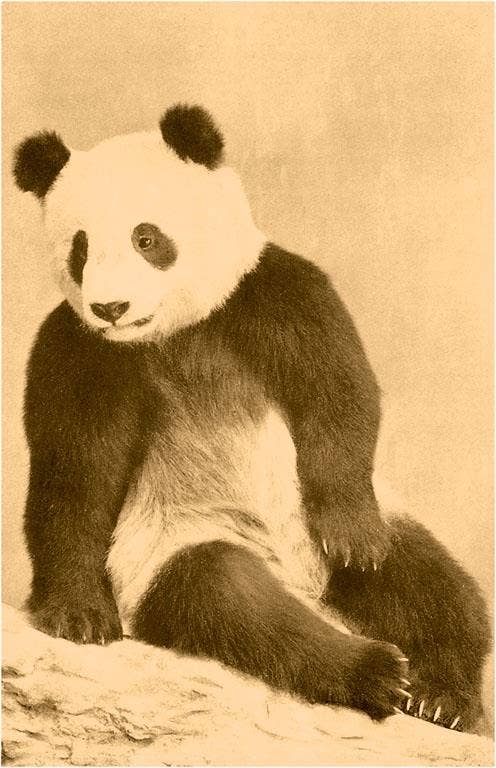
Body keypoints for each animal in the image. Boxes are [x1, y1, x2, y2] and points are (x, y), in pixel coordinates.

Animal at [13, 104, 489, 731]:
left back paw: (443, 695)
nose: (110, 307)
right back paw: (373, 671)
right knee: (230, 602)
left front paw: (352, 536)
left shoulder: (268, 293)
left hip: (345, 517)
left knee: (429, 585)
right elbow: (74, 476)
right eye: (81, 249)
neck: (176, 331)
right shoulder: (80, 349)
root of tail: (300, 580)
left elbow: (338, 391)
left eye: (147, 238)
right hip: (169, 544)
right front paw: (77, 615)